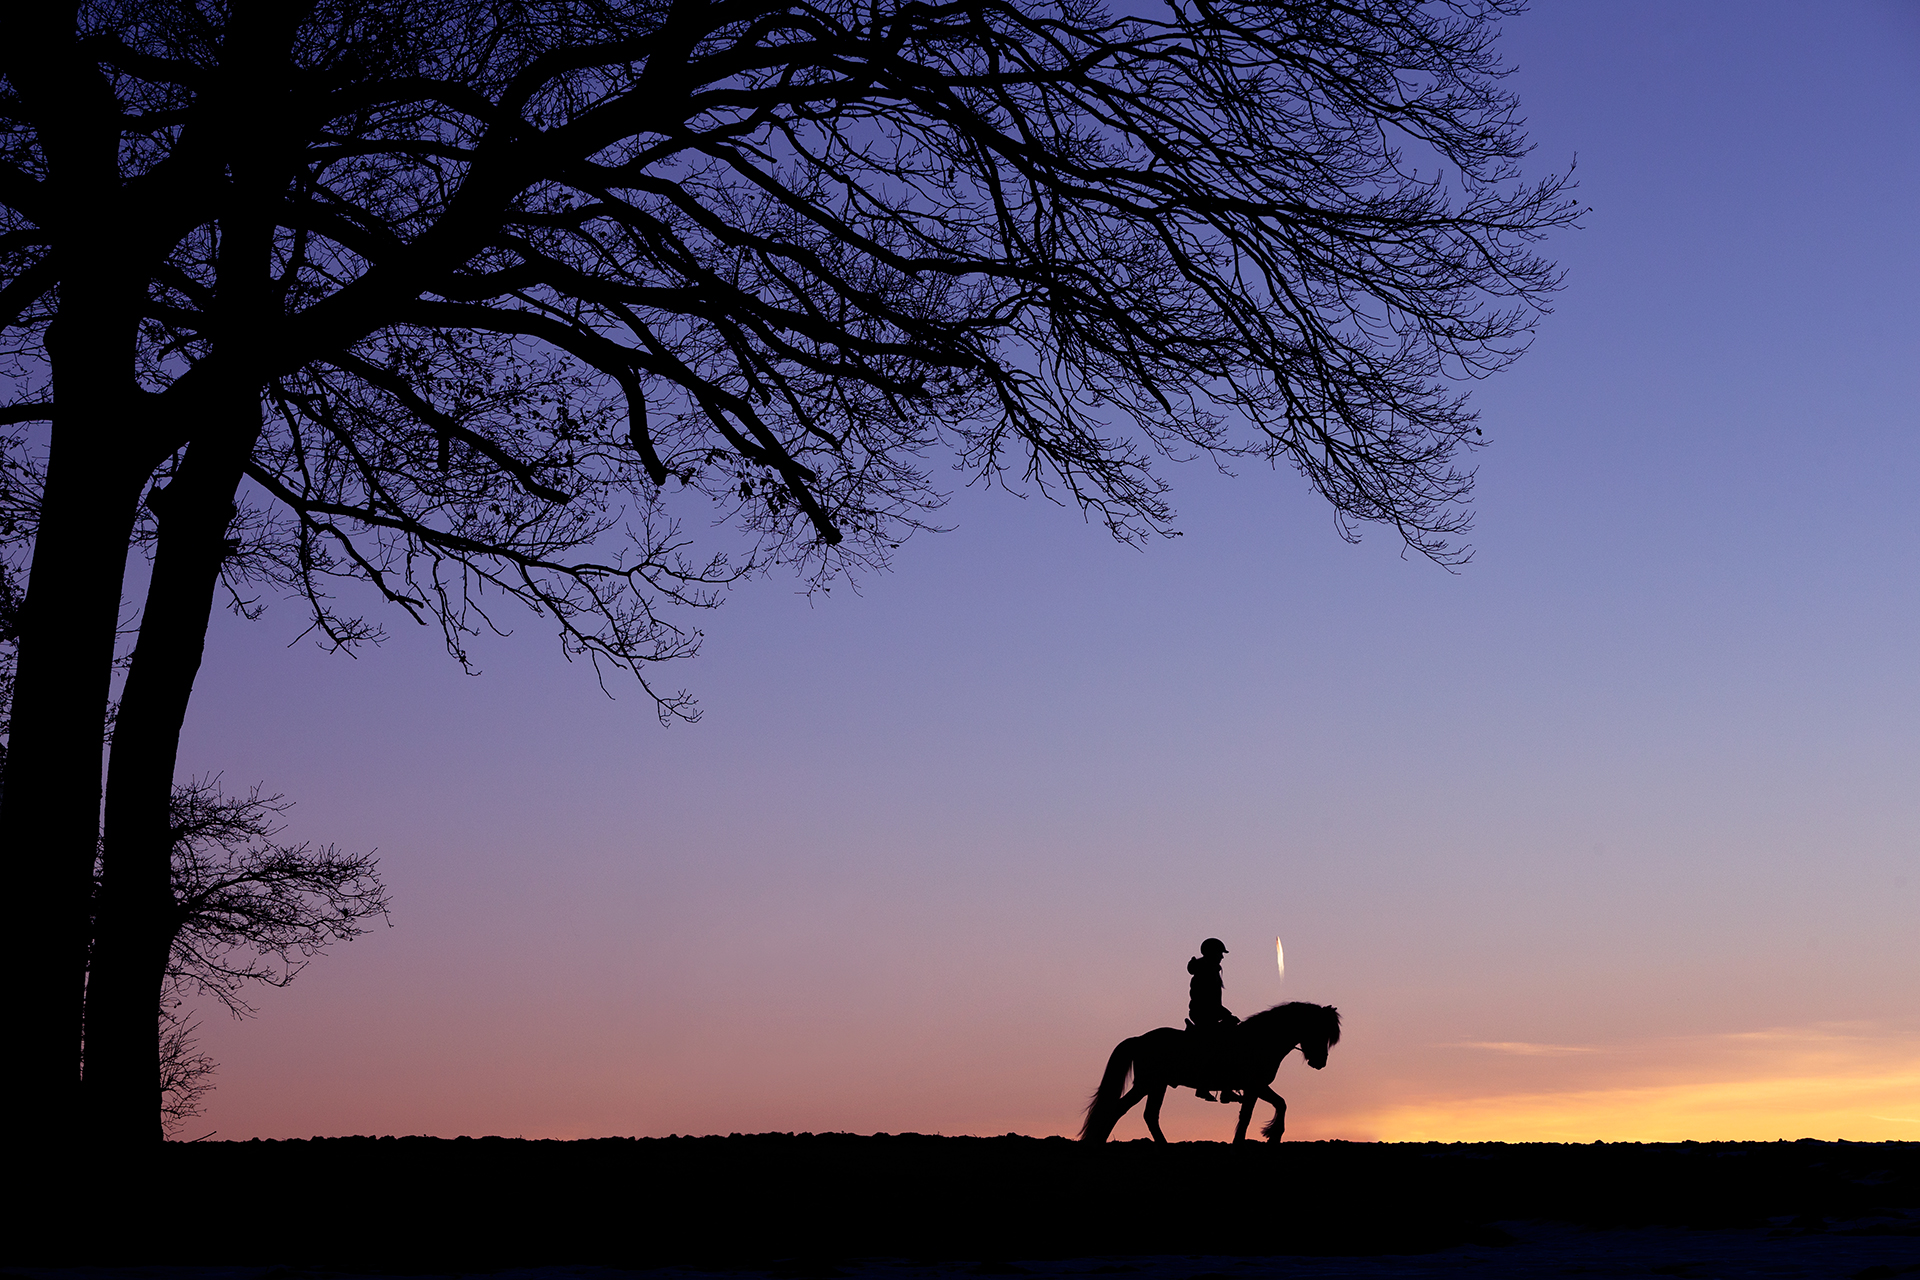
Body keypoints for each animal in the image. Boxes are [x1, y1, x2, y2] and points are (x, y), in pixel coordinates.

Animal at [1078, 1001, 1341, 1144]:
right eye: (1319, 1031)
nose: (1320, 1062)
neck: (1261, 1039)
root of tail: (1139, 1039)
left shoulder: (1254, 1087)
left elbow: (1272, 1106)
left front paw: (1269, 1135)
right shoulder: (1255, 1085)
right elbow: (1255, 1114)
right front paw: (1269, 1134)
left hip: (1157, 1085)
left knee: (1148, 1115)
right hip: (1147, 1084)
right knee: (1119, 1109)